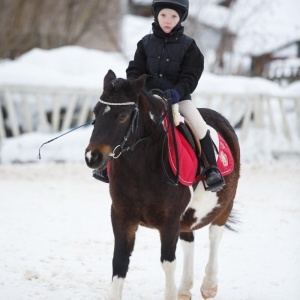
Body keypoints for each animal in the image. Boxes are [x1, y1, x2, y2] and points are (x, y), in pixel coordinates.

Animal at [85, 69, 240, 298]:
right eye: (96, 112)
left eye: (122, 117)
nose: (92, 157)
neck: (140, 169)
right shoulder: (122, 216)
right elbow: (119, 261)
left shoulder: (169, 221)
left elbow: (168, 263)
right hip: (187, 216)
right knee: (189, 240)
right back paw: (184, 289)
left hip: (224, 205)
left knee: (215, 235)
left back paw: (209, 285)